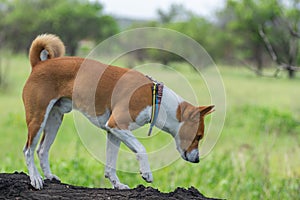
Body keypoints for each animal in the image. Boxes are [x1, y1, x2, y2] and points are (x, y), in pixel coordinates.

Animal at [22, 34, 214, 189]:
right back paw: (36, 178)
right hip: (38, 118)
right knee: (28, 150)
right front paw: (146, 173)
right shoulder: (117, 124)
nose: (197, 159)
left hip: (54, 120)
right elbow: (141, 148)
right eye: (199, 136)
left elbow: (110, 165)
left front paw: (117, 184)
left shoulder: (113, 132)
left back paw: (49, 176)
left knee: (42, 150)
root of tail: (39, 65)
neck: (156, 99)